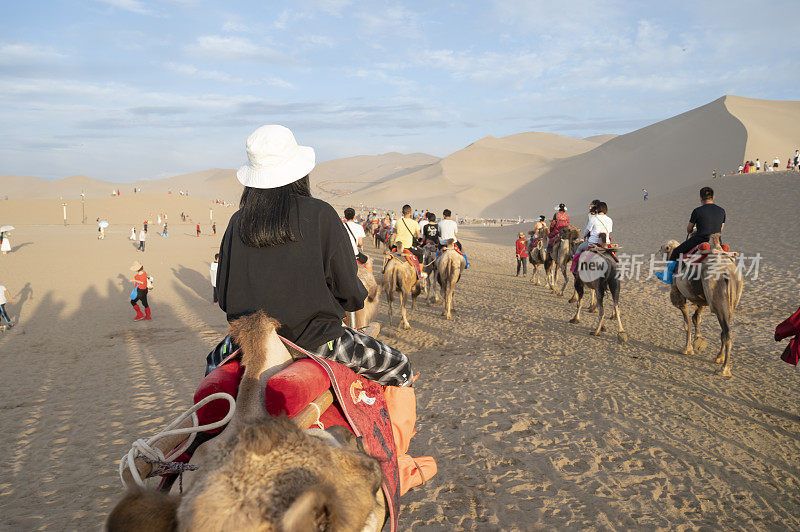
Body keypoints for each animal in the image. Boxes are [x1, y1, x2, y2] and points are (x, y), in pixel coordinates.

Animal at [660, 234, 740, 378]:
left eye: (665, 247)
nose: (660, 249)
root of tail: (727, 273)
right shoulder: (702, 299)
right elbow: (696, 318)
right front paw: (698, 340)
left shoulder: (679, 296)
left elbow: (687, 323)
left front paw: (687, 349)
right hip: (731, 302)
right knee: (724, 330)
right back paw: (719, 358)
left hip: (716, 297)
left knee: (727, 332)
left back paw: (724, 369)